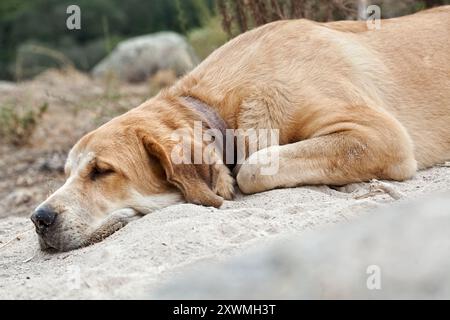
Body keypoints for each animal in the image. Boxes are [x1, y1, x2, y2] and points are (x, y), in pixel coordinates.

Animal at [31, 6, 450, 251]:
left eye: (102, 171)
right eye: (66, 174)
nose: (39, 219)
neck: (218, 106)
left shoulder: (381, 135)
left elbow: (252, 168)